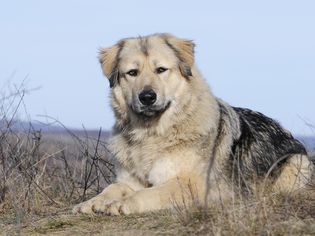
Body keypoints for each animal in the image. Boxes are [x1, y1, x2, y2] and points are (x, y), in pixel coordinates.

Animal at [73, 33, 314, 216]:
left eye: (161, 70)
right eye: (132, 73)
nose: (147, 97)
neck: (152, 134)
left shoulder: (190, 184)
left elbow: (147, 193)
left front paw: (123, 203)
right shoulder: (130, 180)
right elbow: (113, 187)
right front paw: (92, 202)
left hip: (297, 164)